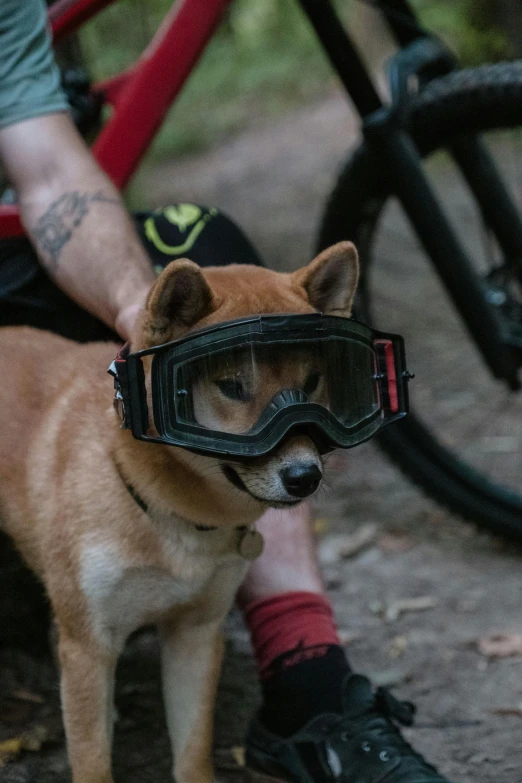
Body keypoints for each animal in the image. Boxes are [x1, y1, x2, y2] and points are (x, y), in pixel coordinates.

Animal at [0, 242, 358, 780]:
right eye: (232, 386)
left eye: (313, 381)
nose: (305, 476)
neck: (170, 514)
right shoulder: (89, 644)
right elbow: (91, 760)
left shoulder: (196, 634)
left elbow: (192, 750)